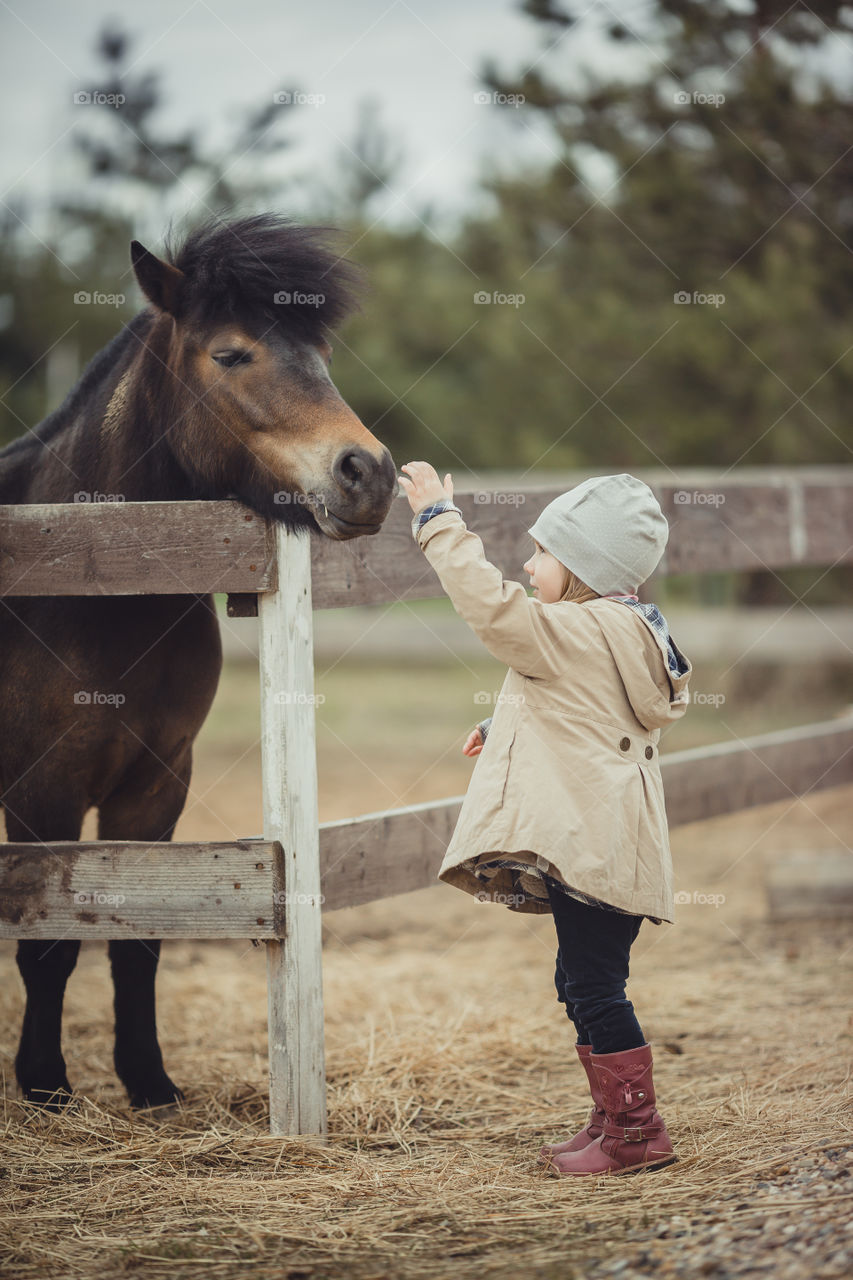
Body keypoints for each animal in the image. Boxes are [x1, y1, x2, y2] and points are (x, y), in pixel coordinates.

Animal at [0, 212, 397, 1111]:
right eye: (230, 354)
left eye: (320, 355)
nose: (369, 473)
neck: (88, 580)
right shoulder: (41, 788)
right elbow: (48, 943)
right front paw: (44, 1086)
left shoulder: (155, 783)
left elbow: (139, 939)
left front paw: (149, 1082)